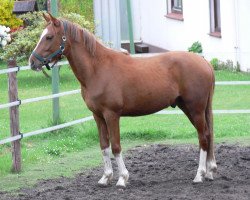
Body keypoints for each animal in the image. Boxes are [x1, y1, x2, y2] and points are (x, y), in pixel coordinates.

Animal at [29, 13, 217, 187]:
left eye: (49, 37)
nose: (32, 62)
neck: (97, 68)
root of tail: (205, 63)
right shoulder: (98, 116)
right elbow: (104, 146)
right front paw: (105, 177)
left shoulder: (111, 115)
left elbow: (116, 146)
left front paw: (122, 178)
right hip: (188, 108)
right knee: (207, 134)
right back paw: (209, 172)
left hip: (195, 109)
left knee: (202, 137)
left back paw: (199, 175)